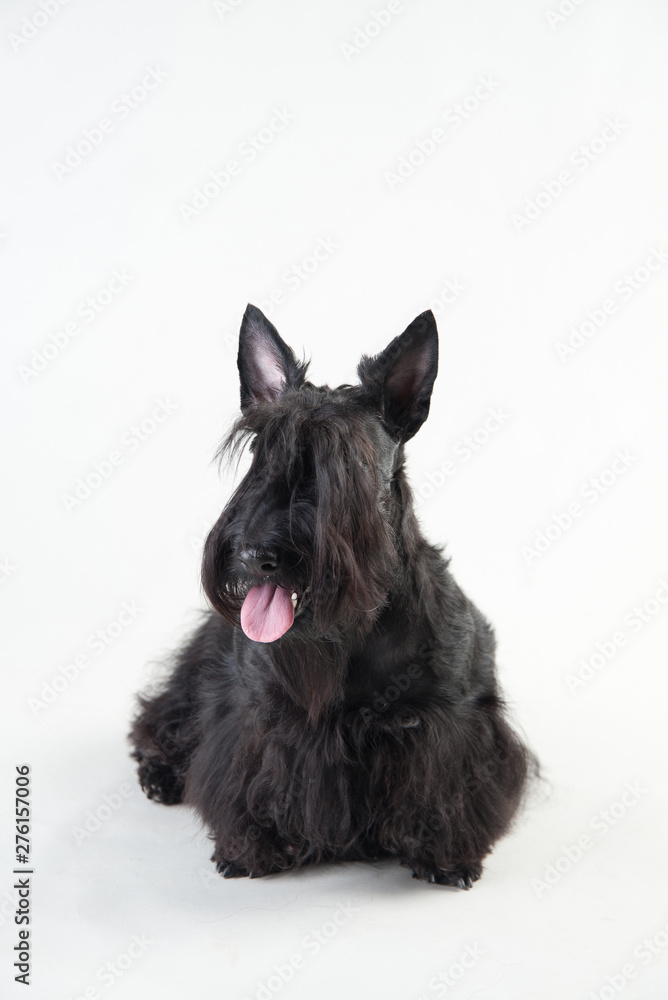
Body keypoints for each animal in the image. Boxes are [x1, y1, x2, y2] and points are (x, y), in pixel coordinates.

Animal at [130, 302, 536, 884]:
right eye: (260, 451)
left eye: (342, 461)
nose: (251, 554)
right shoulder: (259, 716)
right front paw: (253, 845)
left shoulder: (451, 720)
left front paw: (445, 855)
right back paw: (161, 775)